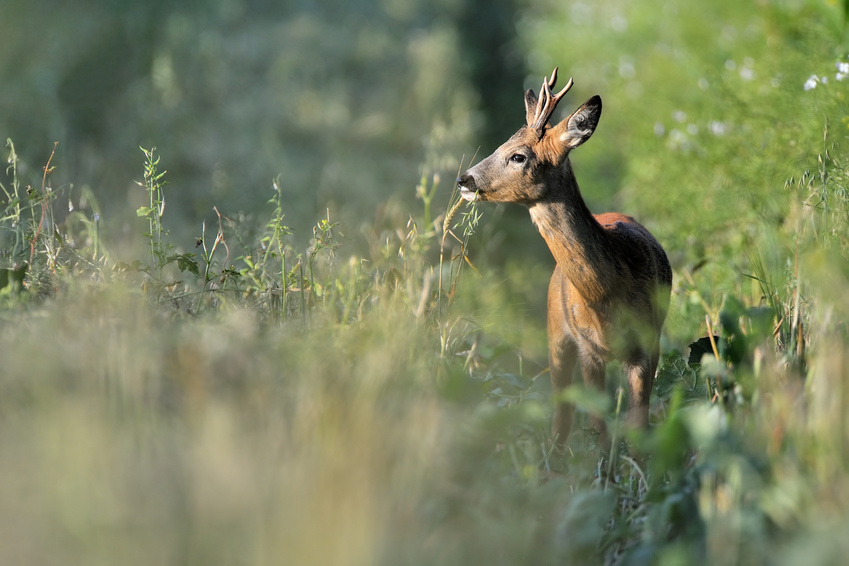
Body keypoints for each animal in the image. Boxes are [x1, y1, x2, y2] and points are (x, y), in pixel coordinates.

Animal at [458, 69, 668, 450]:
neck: (610, 294)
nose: (463, 179)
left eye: (518, 156)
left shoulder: (646, 344)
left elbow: (638, 427)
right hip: (555, 332)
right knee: (562, 413)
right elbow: (599, 425)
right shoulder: (587, 347)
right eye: (498, 146)